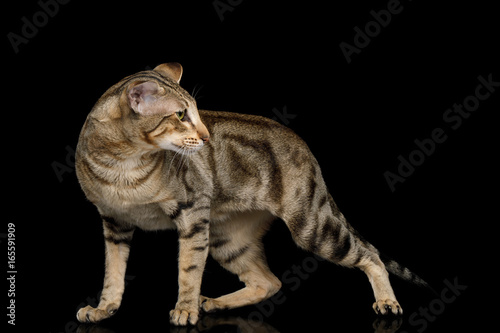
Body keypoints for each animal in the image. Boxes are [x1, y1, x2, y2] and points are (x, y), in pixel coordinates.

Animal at [74, 61, 430, 324]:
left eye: (197, 113)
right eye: (180, 115)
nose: (205, 136)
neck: (121, 165)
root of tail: (305, 147)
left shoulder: (192, 214)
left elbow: (188, 269)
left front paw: (185, 309)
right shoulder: (114, 223)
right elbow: (113, 274)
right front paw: (103, 309)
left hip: (310, 226)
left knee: (370, 256)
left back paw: (387, 301)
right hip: (228, 239)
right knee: (268, 281)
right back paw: (216, 303)